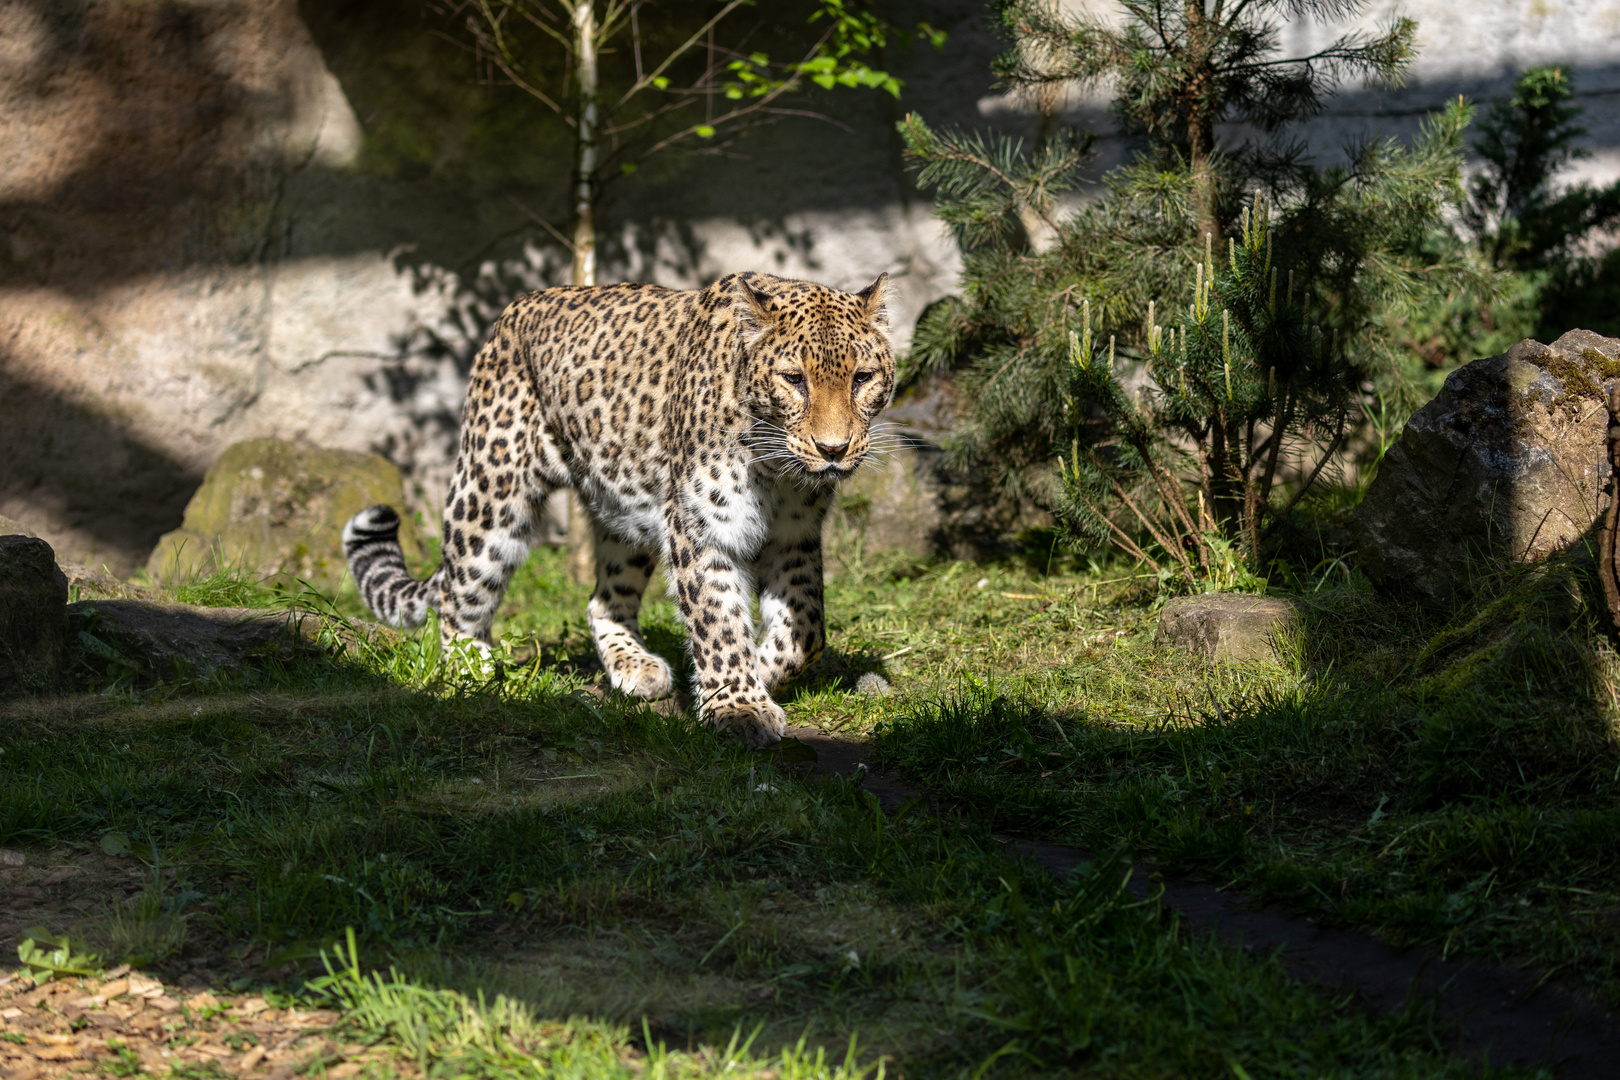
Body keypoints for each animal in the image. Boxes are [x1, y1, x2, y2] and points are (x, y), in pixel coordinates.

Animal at [345, 270, 900, 748]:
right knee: (457, 593)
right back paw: (471, 671)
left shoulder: (794, 537)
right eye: (793, 380)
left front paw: (746, 679)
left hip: (624, 514)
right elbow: (719, 623)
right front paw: (738, 704)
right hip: (492, 490)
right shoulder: (700, 529)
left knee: (602, 600)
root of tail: (515, 308)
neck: (777, 471)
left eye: (862, 378)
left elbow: (805, 629)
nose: (834, 449)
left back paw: (636, 668)